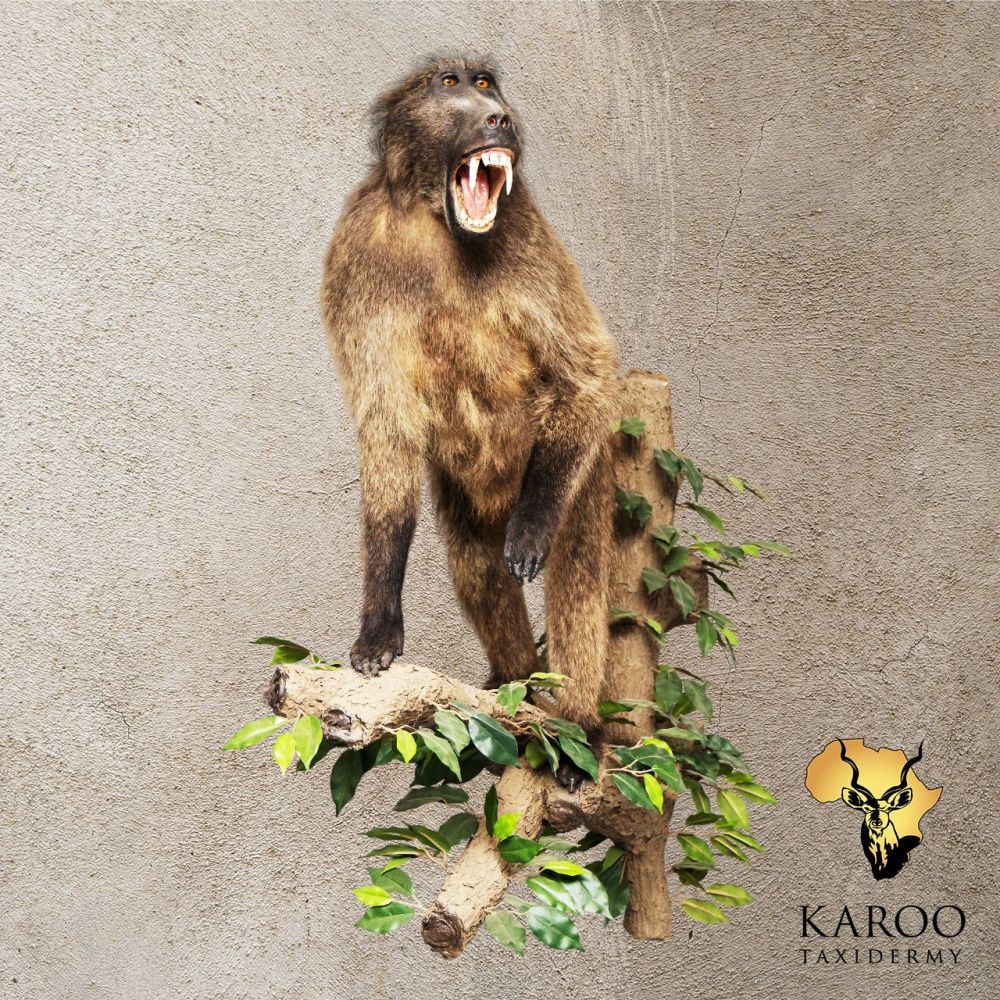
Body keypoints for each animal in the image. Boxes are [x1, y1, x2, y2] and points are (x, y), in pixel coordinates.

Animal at [321, 57, 619, 769]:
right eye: (450, 83)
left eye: (486, 83)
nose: (499, 117)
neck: (435, 218)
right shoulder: (357, 253)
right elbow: (388, 429)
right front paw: (379, 626)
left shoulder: (526, 231)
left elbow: (587, 373)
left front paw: (531, 530)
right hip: (468, 492)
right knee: (478, 568)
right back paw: (515, 686)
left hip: (578, 462)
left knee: (578, 572)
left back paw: (577, 727)